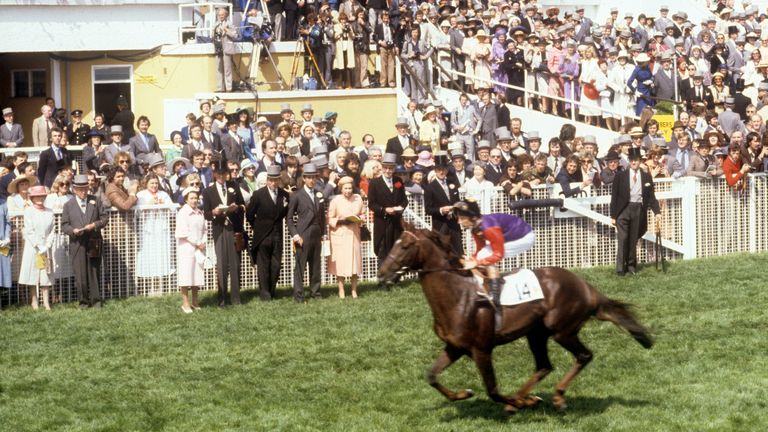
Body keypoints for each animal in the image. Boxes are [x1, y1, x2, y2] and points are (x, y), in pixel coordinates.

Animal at [378, 224, 656, 414]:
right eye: (395, 243)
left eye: (405, 246)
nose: (382, 272)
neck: (458, 296)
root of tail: (587, 288)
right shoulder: (455, 347)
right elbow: (432, 376)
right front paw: (464, 393)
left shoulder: (481, 349)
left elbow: (493, 390)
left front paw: (519, 401)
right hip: (536, 333)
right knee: (544, 366)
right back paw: (528, 397)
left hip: (561, 330)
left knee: (583, 356)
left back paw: (555, 397)